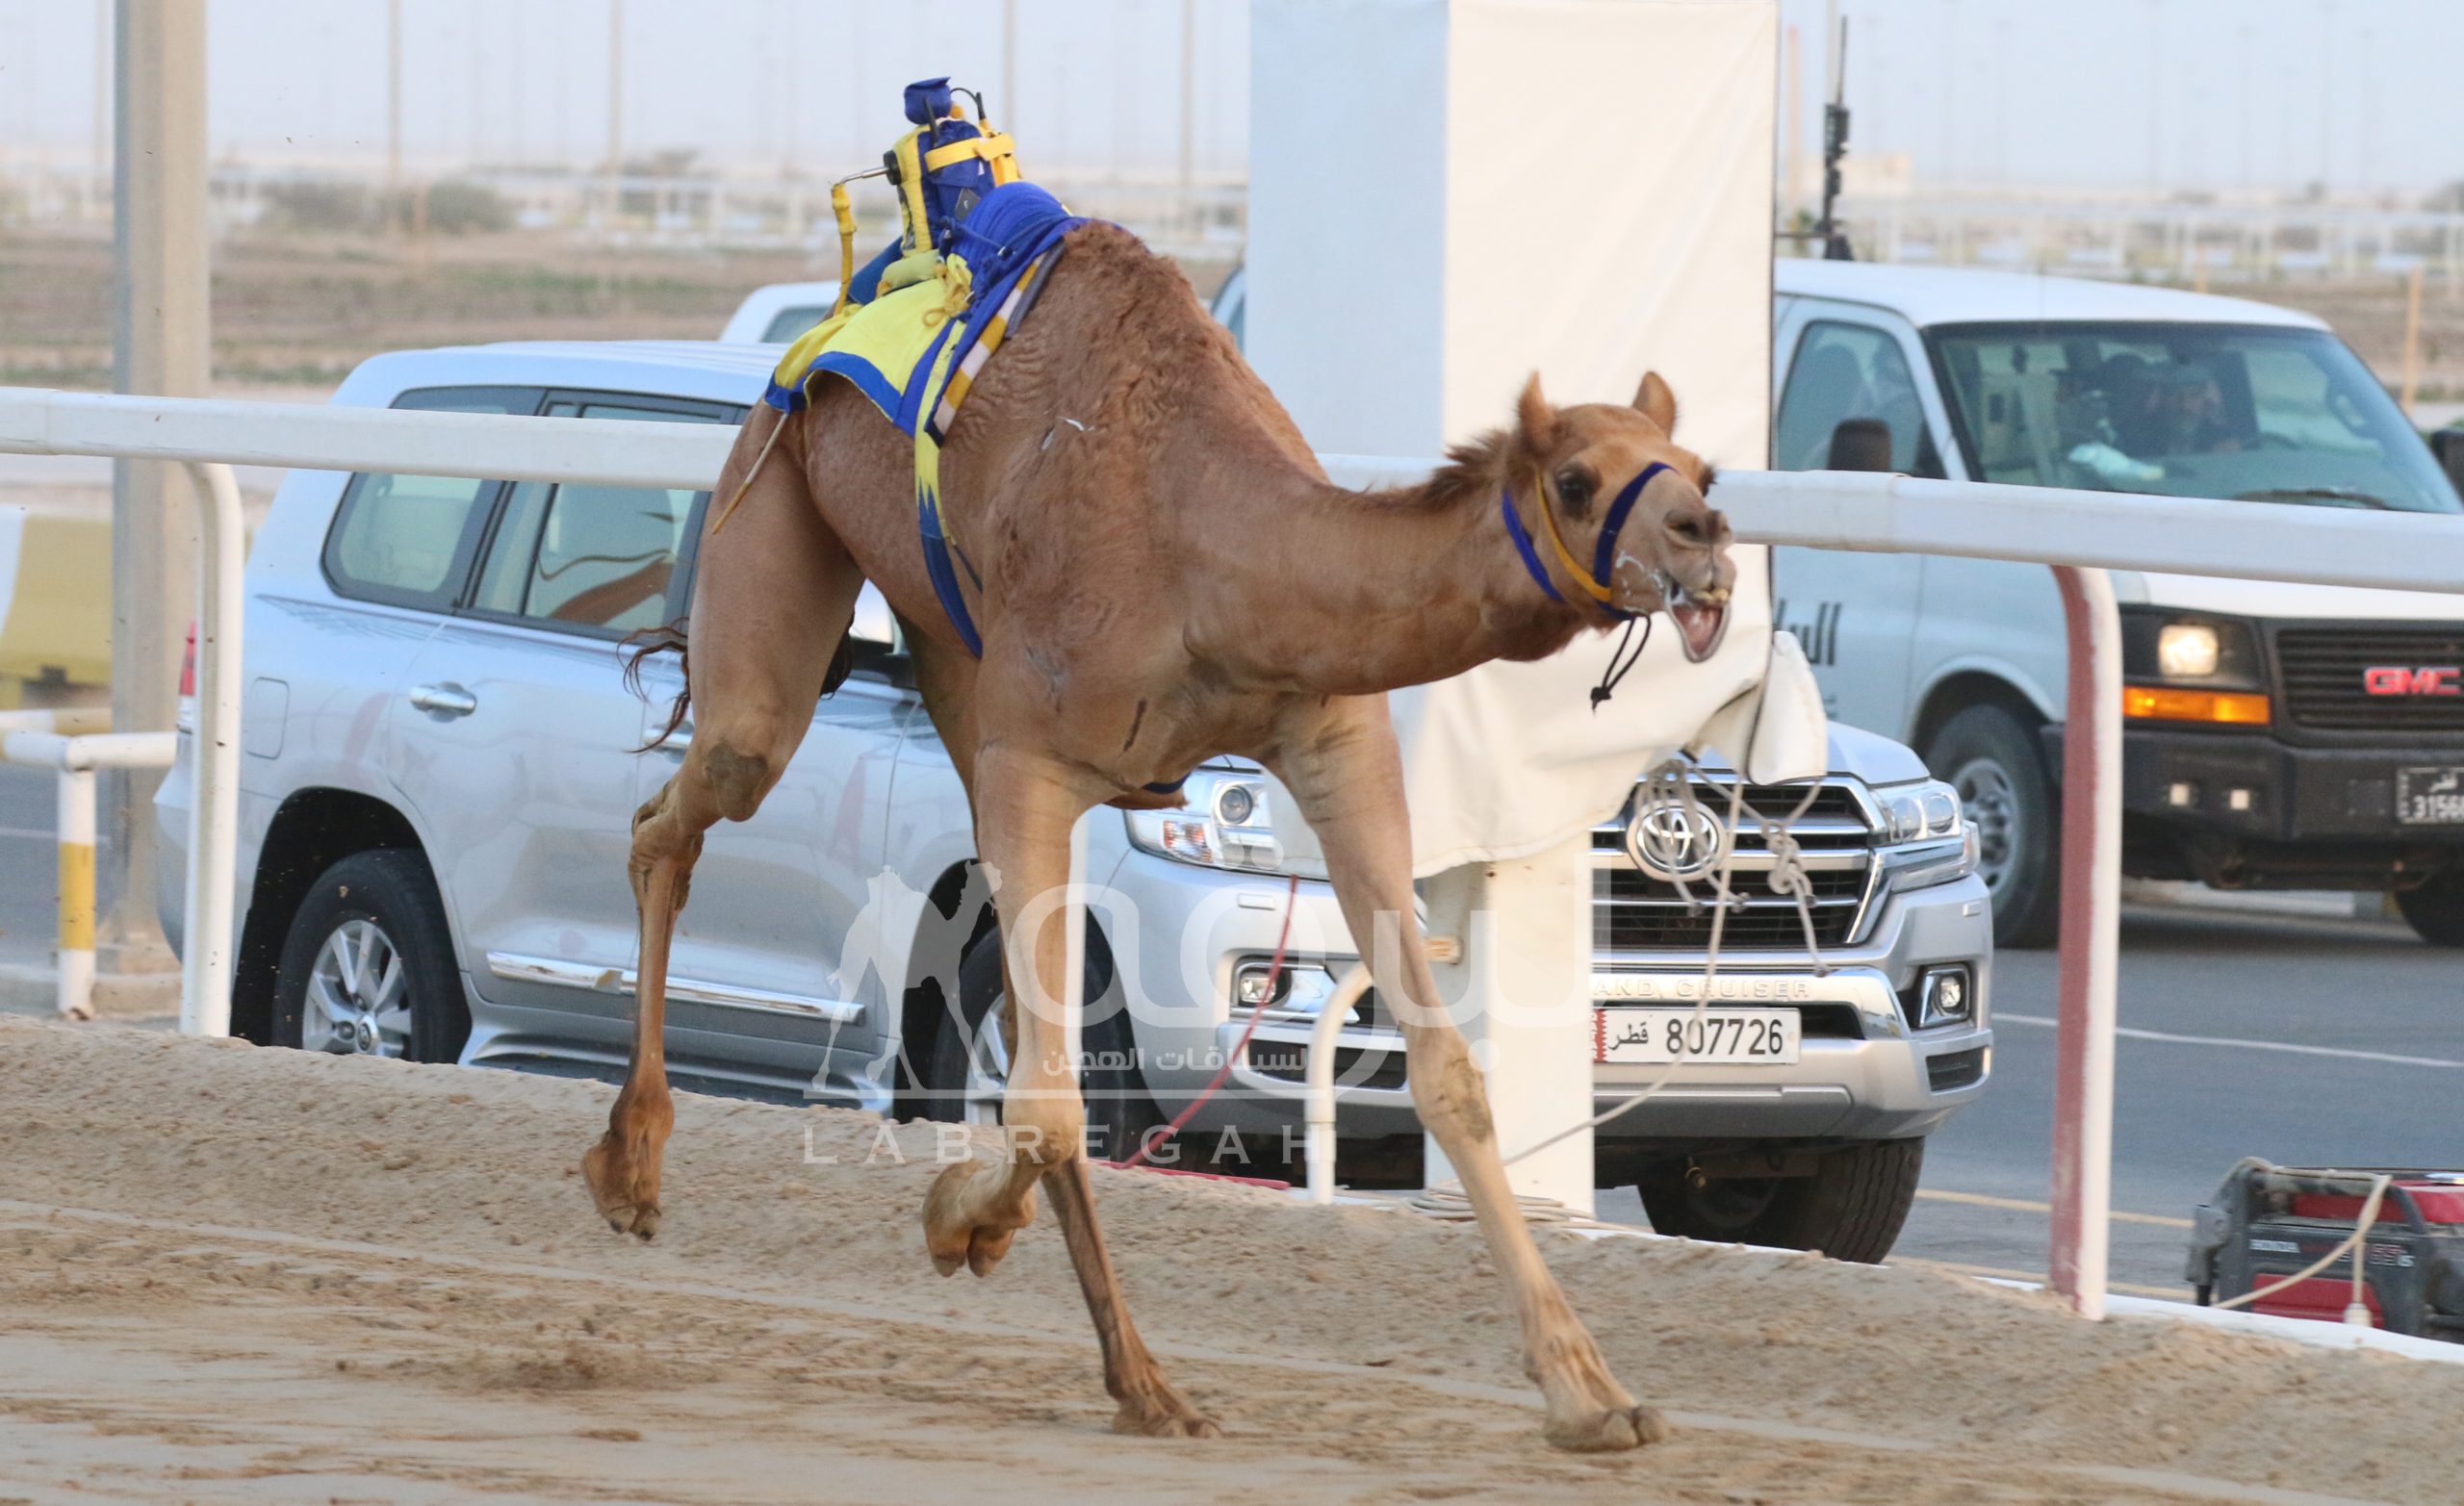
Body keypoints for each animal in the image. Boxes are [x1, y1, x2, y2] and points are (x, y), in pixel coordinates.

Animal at [581, 220, 1734, 1449]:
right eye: (1575, 478)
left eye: (1699, 467)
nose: (1705, 539)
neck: (1215, 555)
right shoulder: (1039, 755)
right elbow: (1049, 1103)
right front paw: (952, 1216)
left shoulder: (1335, 747)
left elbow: (1450, 1071)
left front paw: (1591, 1391)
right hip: (780, 505)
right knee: (685, 801)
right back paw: (629, 1165)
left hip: (953, 662)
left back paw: (1142, 1378)